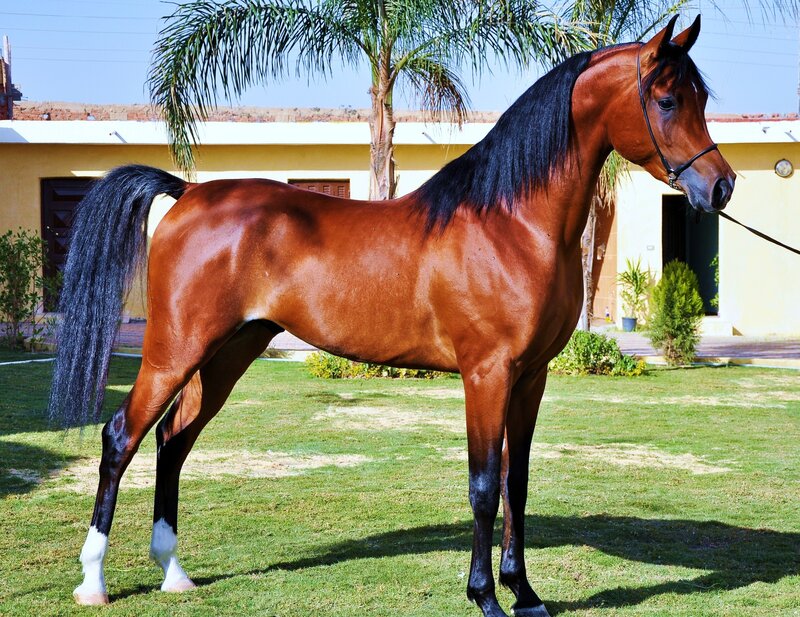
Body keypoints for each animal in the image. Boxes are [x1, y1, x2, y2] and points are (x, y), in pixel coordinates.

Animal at [49, 15, 734, 617]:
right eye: (667, 100)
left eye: (701, 96)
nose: (721, 186)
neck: (512, 224)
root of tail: (190, 192)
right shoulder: (487, 374)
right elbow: (484, 486)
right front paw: (486, 597)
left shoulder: (530, 377)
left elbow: (517, 483)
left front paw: (526, 594)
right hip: (175, 351)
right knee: (121, 438)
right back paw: (93, 582)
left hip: (229, 352)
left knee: (173, 440)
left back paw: (174, 573)